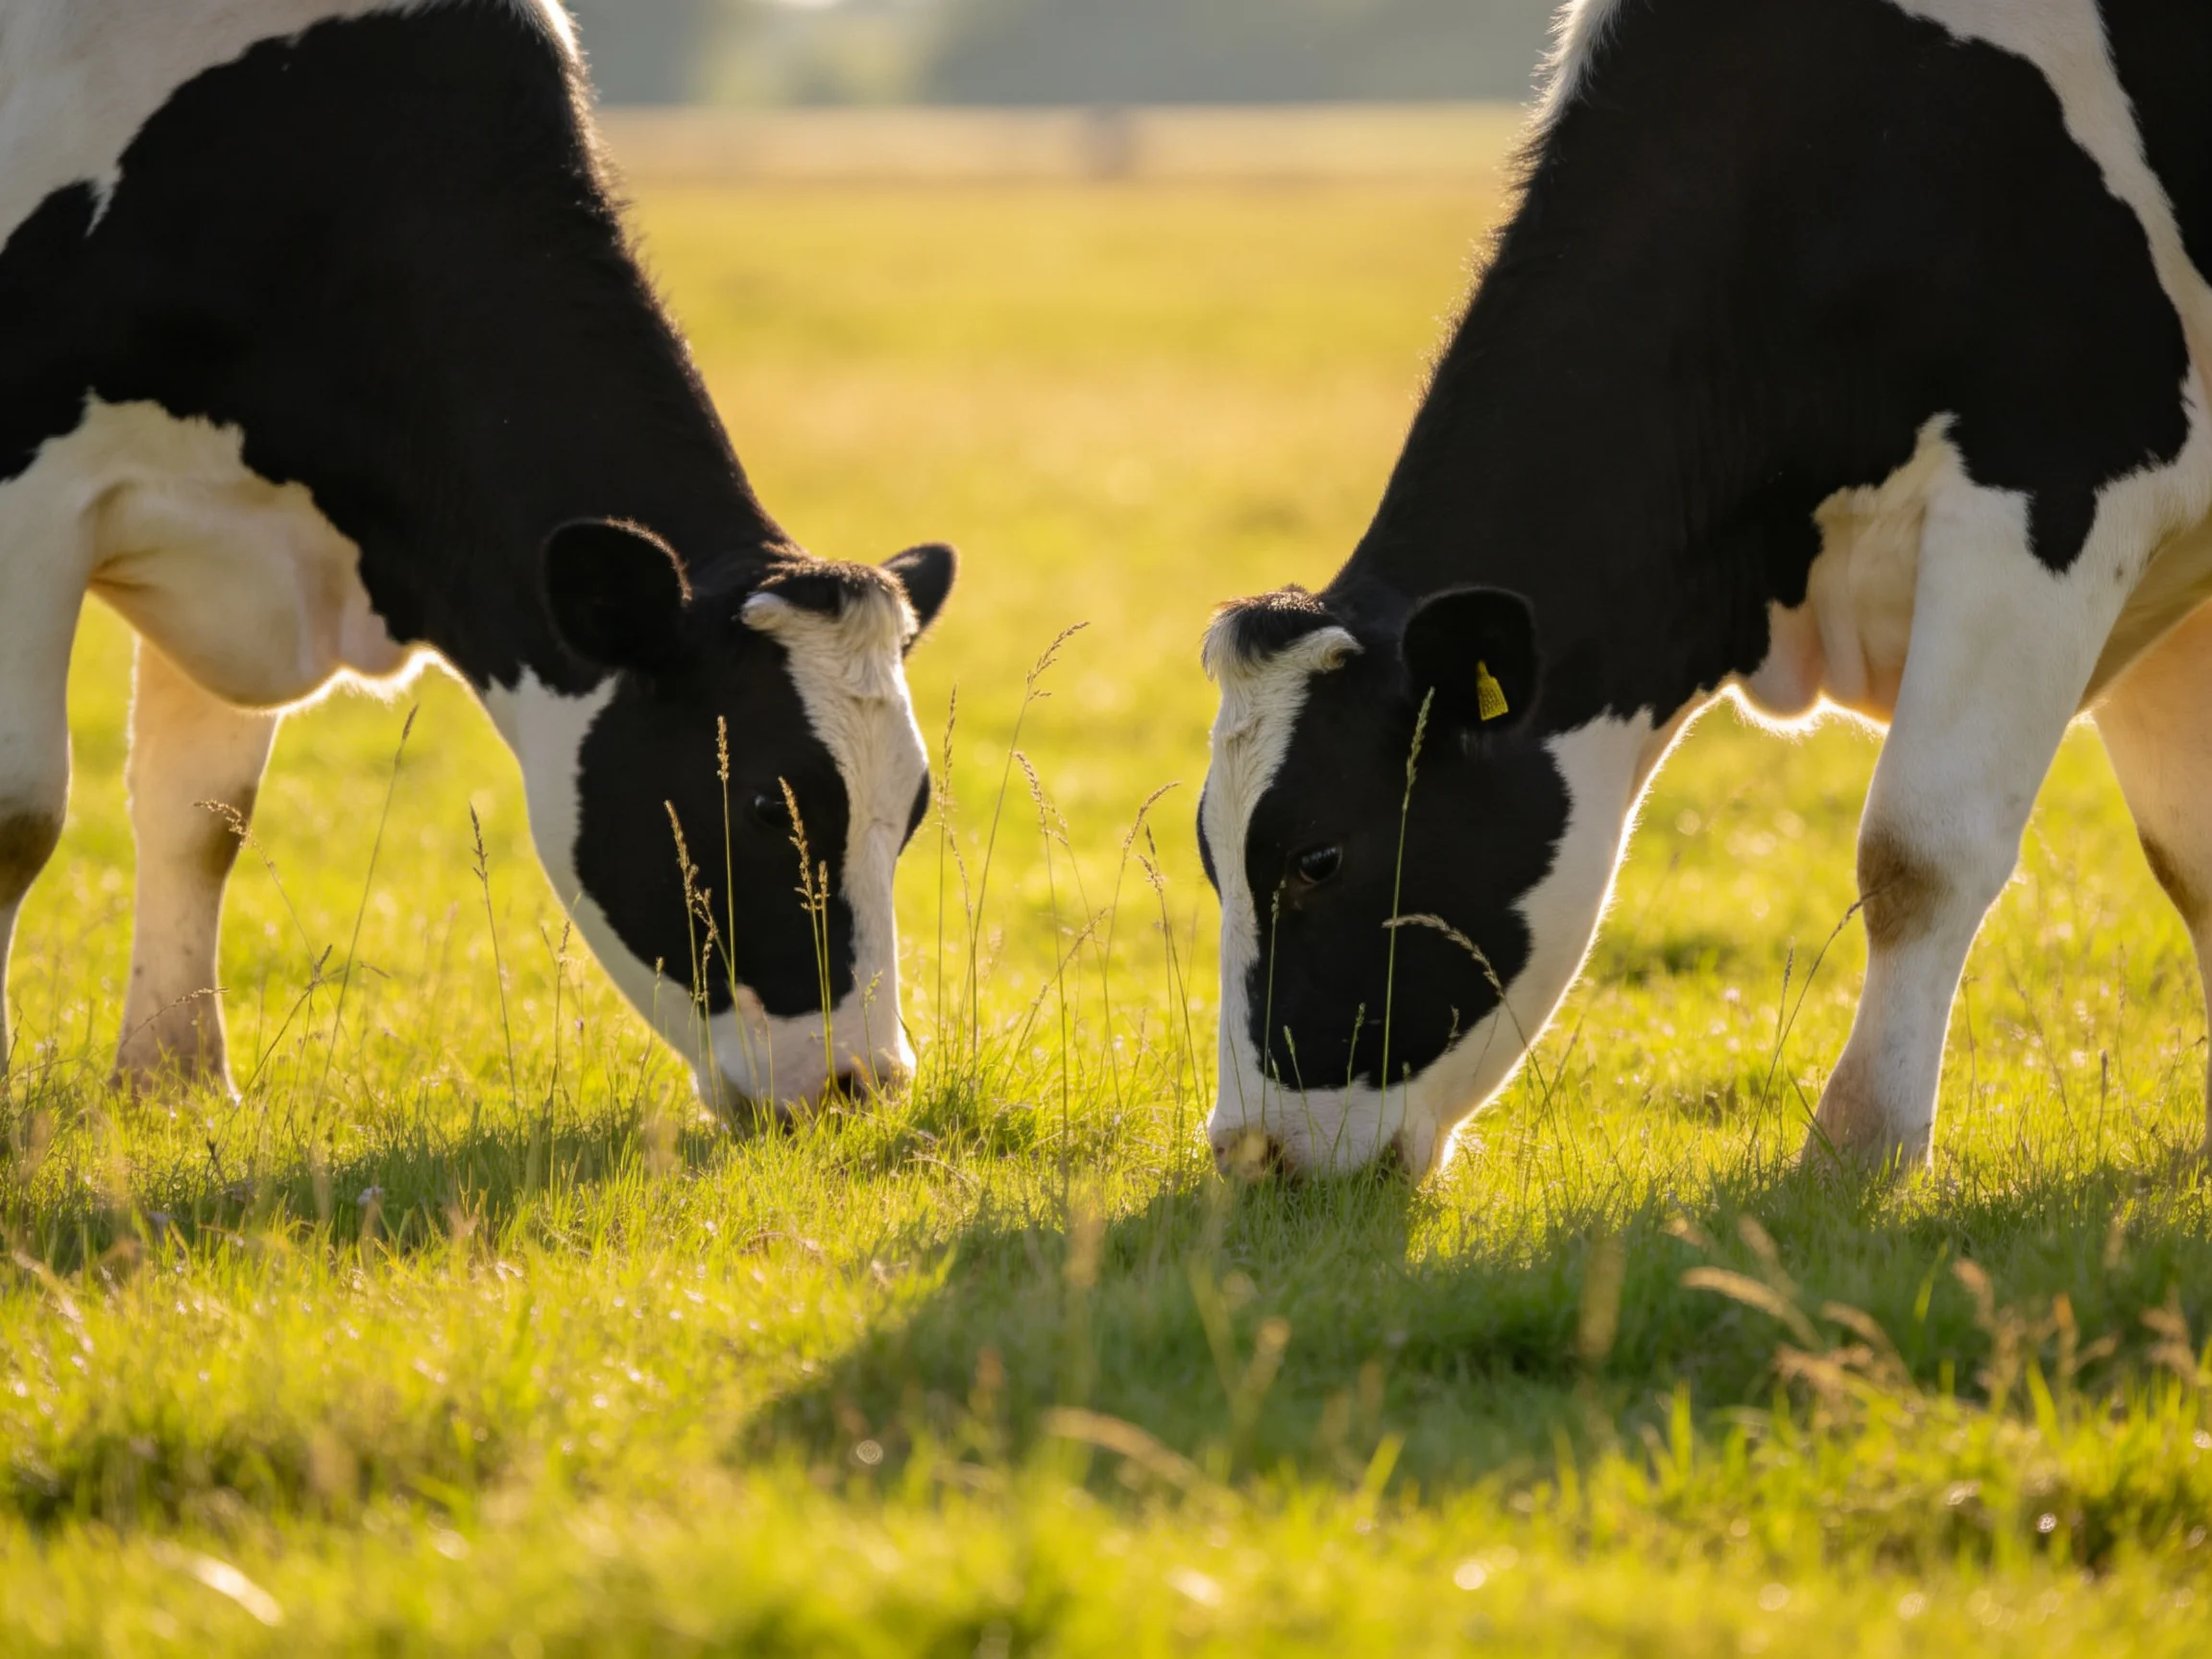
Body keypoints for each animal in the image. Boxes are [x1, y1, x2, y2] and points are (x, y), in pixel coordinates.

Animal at [0, 0, 956, 1114]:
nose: (864, 1080)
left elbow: (202, 817)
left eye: (914, 806)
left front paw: (178, 1084)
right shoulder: (30, 500)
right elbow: (21, 813)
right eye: (769, 803)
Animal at [1199, 0, 2212, 1179]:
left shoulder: (2058, 476)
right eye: (1209, 855)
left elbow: (1919, 847)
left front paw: (1859, 1145)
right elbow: (2191, 857)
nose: (1249, 1151)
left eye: (1317, 857)